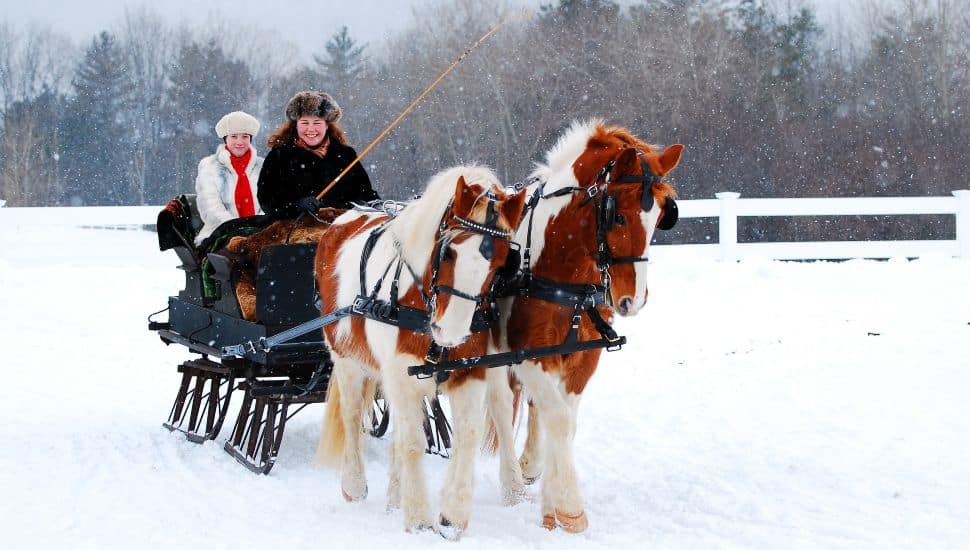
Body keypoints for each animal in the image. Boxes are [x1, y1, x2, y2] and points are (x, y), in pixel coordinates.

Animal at [314, 166, 524, 540]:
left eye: (501, 261)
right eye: (449, 251)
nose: (452, 330)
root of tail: (343, 218)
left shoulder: (471, 370)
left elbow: (466, 434)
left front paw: (452, 516)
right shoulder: (398, 374)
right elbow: (412, 441)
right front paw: (419, 519)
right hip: (347, 359)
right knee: (352, 416)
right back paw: (354, 484)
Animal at [484, 119, 680, 536]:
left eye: (661, 217)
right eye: (617, 215)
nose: (633, 299)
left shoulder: (581, 359)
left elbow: (565, 421)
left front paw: (551, 503)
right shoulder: (527, 355)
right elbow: (557, 418)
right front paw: (570, 508)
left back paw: (530, 466)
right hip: (491, 351)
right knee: (500, 403)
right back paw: (511, 484)